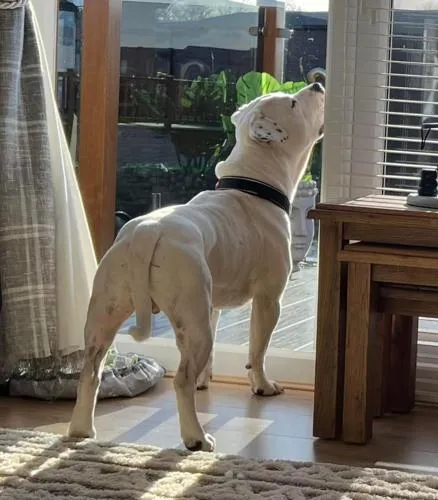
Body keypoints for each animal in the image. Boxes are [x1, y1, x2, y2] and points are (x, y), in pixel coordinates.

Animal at [67, 82, 325, 452]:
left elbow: (217, 349)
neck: (252, 183)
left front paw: (208, 379)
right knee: (181, 382)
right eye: (292, 102)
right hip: (192, 318)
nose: (317, 84)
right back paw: (196, 438)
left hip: (107, 312)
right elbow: (258, 349)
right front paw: (262, 385)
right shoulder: (268, 301)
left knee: (90, 372)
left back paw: (81, 430)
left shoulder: (212, 305)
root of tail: (147, 233)